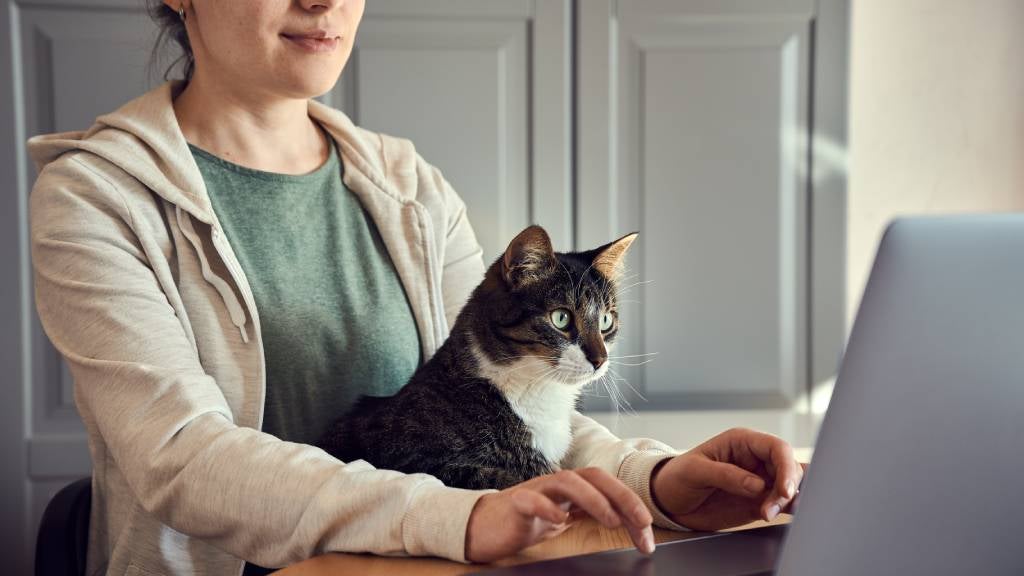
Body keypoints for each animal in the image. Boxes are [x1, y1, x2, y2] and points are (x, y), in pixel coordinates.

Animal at [317, 224, 638, 487]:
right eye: (561, 318)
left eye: (606, 321)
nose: (600, 360)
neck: (533, 391)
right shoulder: (411, 459)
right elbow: (506, 477)